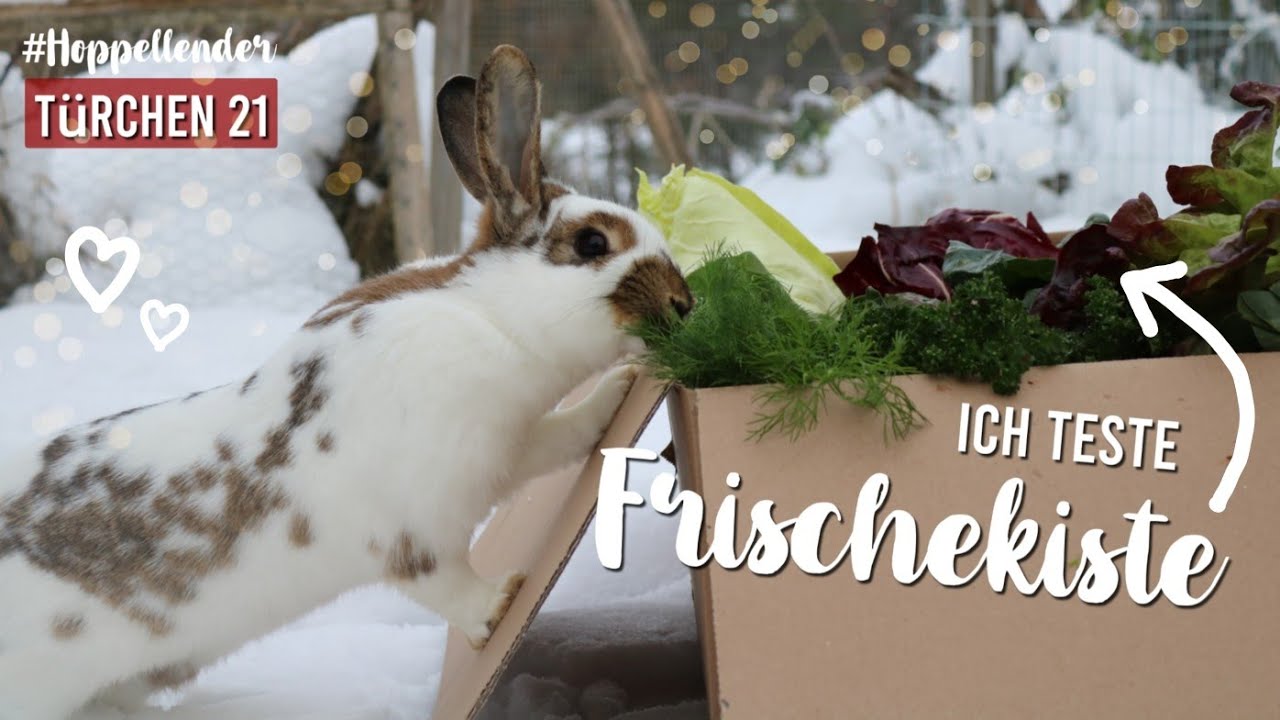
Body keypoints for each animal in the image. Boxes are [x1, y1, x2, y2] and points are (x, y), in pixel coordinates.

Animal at [0, 44, 692, 720]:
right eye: (593, 243)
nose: (684, 304)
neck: (493, 319)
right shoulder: (411, 531)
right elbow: (450, 589)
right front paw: (505, 599)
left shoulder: (512, 446)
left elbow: (567, 435)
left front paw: (618, 389)